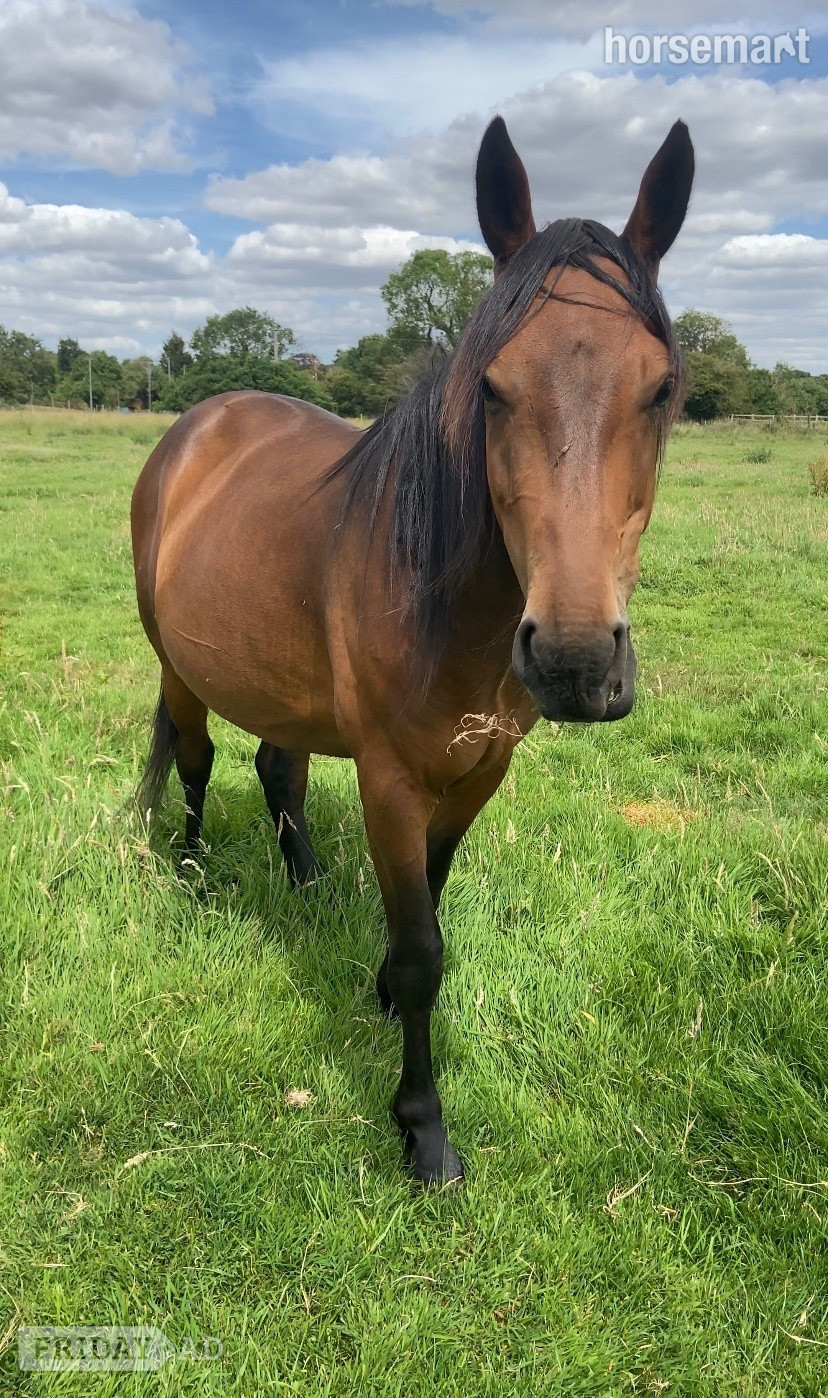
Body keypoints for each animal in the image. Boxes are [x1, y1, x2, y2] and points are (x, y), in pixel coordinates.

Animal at [131, 114, 694, 1186]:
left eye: (661, 390)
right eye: (494, 387)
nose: (573, 661)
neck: (449, 610)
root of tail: (200, 422)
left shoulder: (478, 773)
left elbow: (425, 908)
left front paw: (382, 993)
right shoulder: (391, 779)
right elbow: (425, 948)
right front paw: (424, 1131)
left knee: (278, 767)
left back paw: (306, 882)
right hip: (181, 670)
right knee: (195, 760)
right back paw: (188, 871)